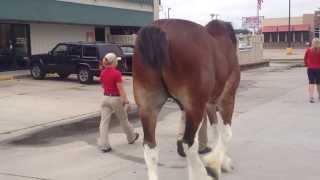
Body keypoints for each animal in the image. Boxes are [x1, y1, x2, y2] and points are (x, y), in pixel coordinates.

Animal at [132, 19, 240, 179]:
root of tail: (159, 28)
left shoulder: (208, 103)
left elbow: (215, 131)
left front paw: (220, 160)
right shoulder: (227, 97)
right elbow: (226, 134)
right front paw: (215, 164)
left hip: (148, 107)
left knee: (150, 147)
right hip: (196, 107)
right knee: (188, 143)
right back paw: (202, 174)